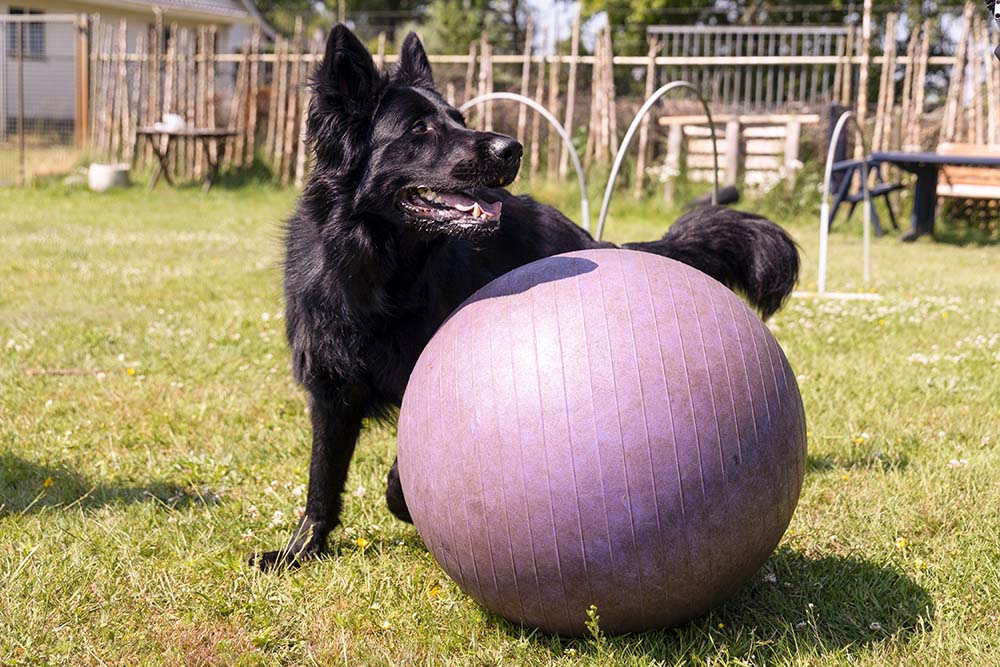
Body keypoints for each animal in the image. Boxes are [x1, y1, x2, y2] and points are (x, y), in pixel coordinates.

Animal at [254, 24, 800, 568]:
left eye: (460, 119)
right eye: (419, 130)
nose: (511, 148)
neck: (378, 274)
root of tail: (590, 240)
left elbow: (397, 471)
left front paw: (401, 503)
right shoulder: (332, 389)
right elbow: (322, 478)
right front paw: (301, 549)